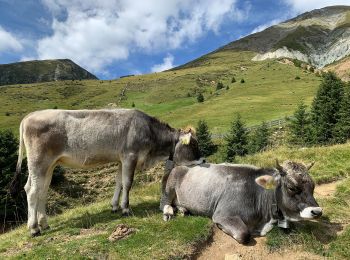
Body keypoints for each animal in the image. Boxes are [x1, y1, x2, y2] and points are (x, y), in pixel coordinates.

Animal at [10, 108, 204, 237]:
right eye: (193, 145)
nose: (203, 160)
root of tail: (29, 116)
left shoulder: (120, 159)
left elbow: (118, 182)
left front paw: (114, 206)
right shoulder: (130, 156)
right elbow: (127, 183)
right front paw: (125, 208)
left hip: (48, 165)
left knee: (41, 191)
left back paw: (44, 224)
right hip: (39, 162)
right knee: (32, 191)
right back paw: (34, 228)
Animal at [161, 160, 322, 244]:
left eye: (313, 186)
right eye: (291, 187)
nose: (317, 211)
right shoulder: (222, 215)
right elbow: (244, 234)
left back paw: (183, 210)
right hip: (169, 186)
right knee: (164, 203)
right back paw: (169, 213)